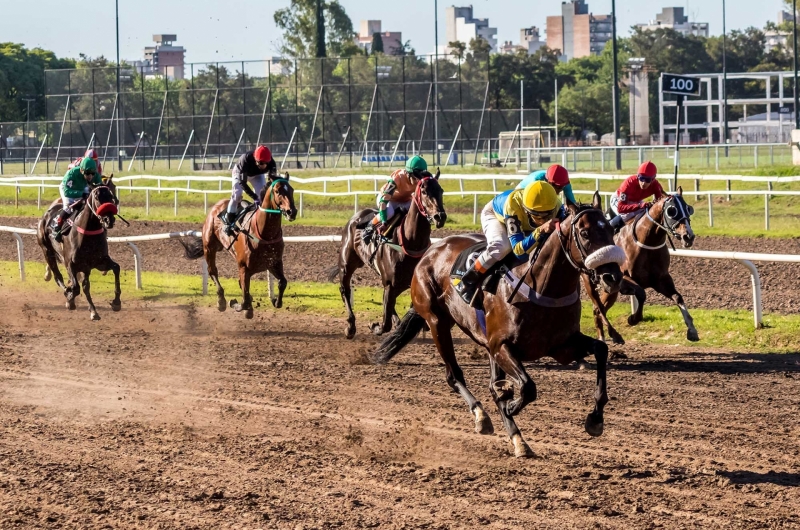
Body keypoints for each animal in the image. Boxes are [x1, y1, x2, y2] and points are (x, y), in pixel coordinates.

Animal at [35, 177, 121, 320]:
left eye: (111, 196)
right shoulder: (71, 263)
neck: (88, 232)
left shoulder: (99, 262)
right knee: (58, 276)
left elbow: (116, 268)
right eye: (97, 197)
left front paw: (116, 302)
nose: (109, 219)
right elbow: (75, 288)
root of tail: (47, 213)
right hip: (47, 251)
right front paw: (69, 297)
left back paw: (93, 310)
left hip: (84, 266)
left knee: (85, 285)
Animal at [178, 172, 296, 318]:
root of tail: (218, 205)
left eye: (292, 190)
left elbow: (282, 283)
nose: (292, 211)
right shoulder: (244, 267)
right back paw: (221, 301)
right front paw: (235, 303)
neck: (264, 233)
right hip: (209, 248)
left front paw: (275, 301)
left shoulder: (274, 262)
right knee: (213, 271)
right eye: (278, 191)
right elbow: (244, 300)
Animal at [328, 173, 446, 338]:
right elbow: (385, 324)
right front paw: (375, 326)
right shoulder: (390, 283)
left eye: (441, 190)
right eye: (424, 192)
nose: (440, 216)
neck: (411, 243)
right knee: (345, 289)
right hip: (347, 263)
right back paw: (350, 326)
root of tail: (356, 217)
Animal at [370, 192, 624, 456]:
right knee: (454, 375)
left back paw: (516, 436)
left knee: (490, 382)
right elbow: (527, 387)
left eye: (610, 230)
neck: (541, 287)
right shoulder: (501, 345)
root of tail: (430, 251)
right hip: (436, 321)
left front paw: (595, 419)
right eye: (584, 233)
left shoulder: (561, 346)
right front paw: (510, 405)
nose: (612, 277)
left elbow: (601, 349)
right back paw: (483, 416)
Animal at [580, 187, 700, 342]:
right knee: (597, 308)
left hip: (610, 290)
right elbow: (641, 293)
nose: (688, 236)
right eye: (672, 210)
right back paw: (601, 337)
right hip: (590, 282)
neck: (648, 241)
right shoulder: (623, 278)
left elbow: (678, 297)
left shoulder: (661, 280)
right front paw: (633, 318)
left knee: (599, 309)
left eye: (687, 208)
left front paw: (692, 330)